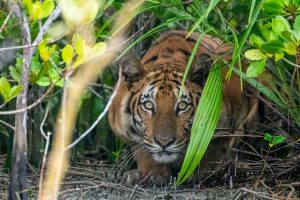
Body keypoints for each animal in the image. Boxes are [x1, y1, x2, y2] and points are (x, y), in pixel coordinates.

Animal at [108, 30, 258, 185]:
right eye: (148, 105)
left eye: (182, 105)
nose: (164, 142)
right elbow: (141, 148)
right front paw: (150, 174)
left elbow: (212, 146)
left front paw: (199, 171)